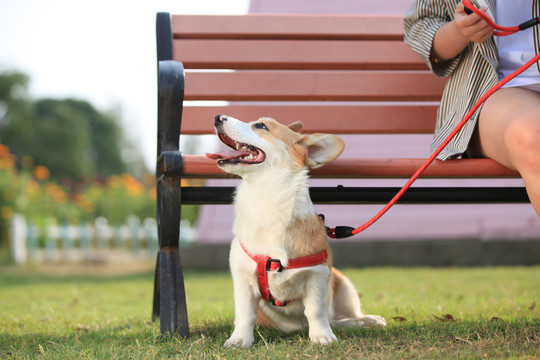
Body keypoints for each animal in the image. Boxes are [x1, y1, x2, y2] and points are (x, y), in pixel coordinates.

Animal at [205, 114, 386, 346]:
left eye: (261, 125)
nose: (217, 117)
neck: (266, 199)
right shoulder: (243, 280)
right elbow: (245, 315)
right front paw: (239, 341)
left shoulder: (316, 276)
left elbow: (316, 311)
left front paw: (322, 337)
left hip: (343, 284)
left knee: (338, 317)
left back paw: (364, 321)